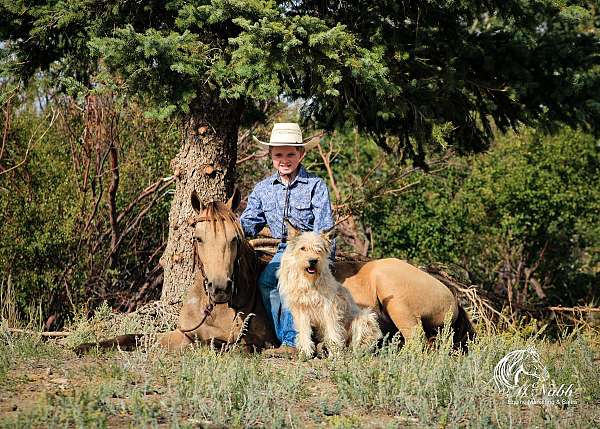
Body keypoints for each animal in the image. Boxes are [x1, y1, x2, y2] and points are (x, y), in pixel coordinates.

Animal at [278, 222, 382, 356]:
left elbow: (333, 331)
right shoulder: (301, 309)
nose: (313, 261)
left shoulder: (329, 308)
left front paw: (335, 354)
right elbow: (304, 331)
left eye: (319, 249)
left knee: (359, 341)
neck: (309, 282)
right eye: (303, 248)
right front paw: (306, 352)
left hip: (364, 318)